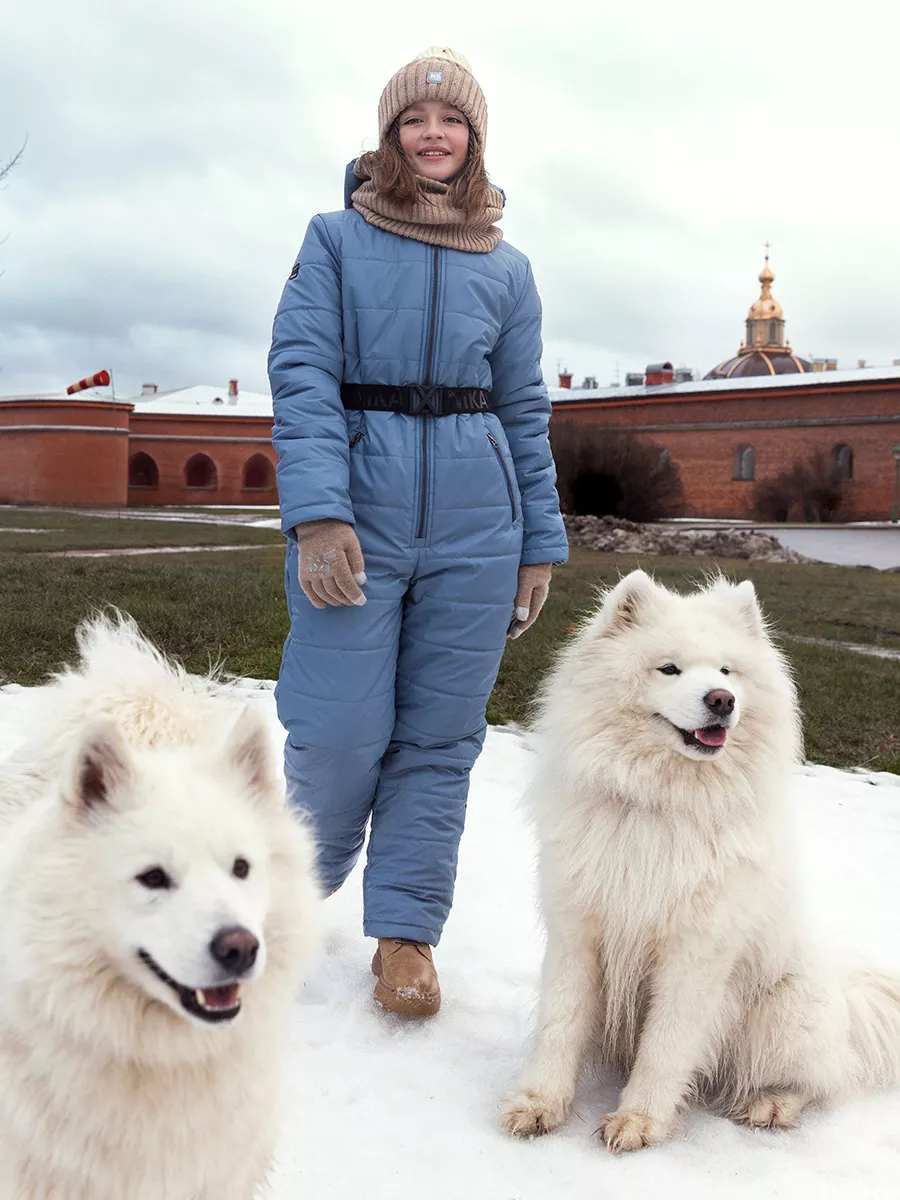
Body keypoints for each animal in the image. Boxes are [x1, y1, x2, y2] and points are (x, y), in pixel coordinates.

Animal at [504, 571, 900, 1152]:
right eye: (669, 668)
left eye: (726, 671)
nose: (722, 700)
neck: (663, 804)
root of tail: (846, 998)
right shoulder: (578, 932)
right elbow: (561, 1022)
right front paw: (538, 1104)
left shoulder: (696, 953)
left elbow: (666, 1045)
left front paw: (638, 1120)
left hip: (781, 1015)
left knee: (817, 1080)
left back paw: (770, 1104)